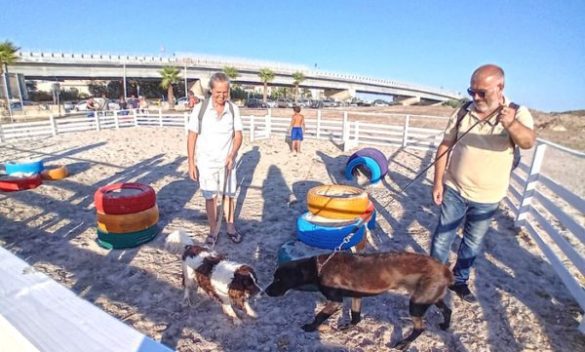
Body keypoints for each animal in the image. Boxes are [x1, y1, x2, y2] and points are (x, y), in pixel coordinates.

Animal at [266, 250, 454, 350]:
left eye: (278, 279)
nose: (266, 291)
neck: (318, 268)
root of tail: (446, 271)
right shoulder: (357, 295)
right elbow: (355, 315)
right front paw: (349, 326)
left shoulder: (336, 301)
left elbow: (319, 315)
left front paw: (311, 327)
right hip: (429, 297)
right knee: (448, 310)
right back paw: (445, 325)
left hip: (416, 304)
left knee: (420, 328)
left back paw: (404, 343)